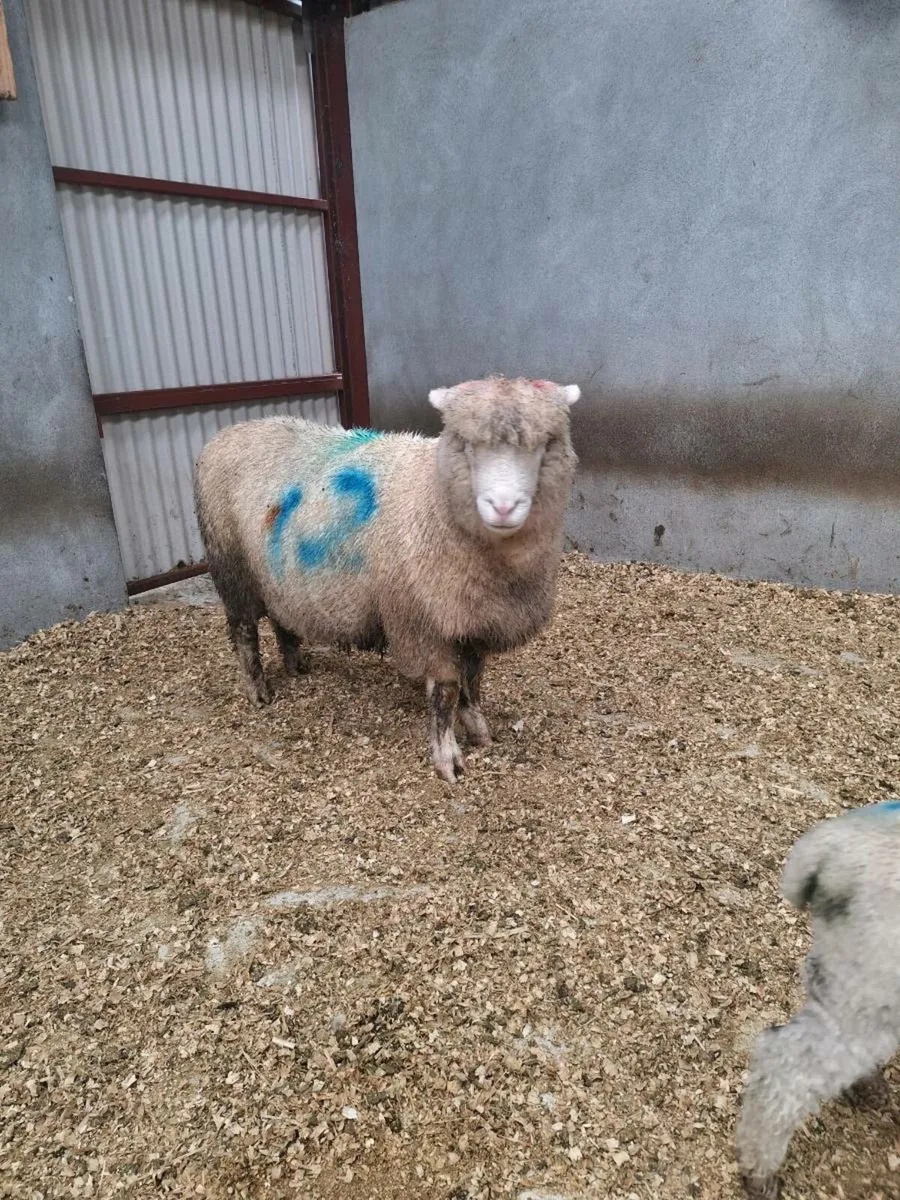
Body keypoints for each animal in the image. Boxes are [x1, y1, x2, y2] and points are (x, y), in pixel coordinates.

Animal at [193, 376, 580, 782]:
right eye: (466, 443)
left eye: (545, 443)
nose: (503, 507)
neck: (433, 497)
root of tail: (228, 432)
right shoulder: (422, 622)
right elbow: (446, 692)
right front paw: (447, 758)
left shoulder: (471, 619)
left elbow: (473, 682)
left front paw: (477, 728)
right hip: (232, 567)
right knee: (244, 633)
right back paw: (258, 690)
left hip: (277, 575)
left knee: (283, 619)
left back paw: (296, 666)